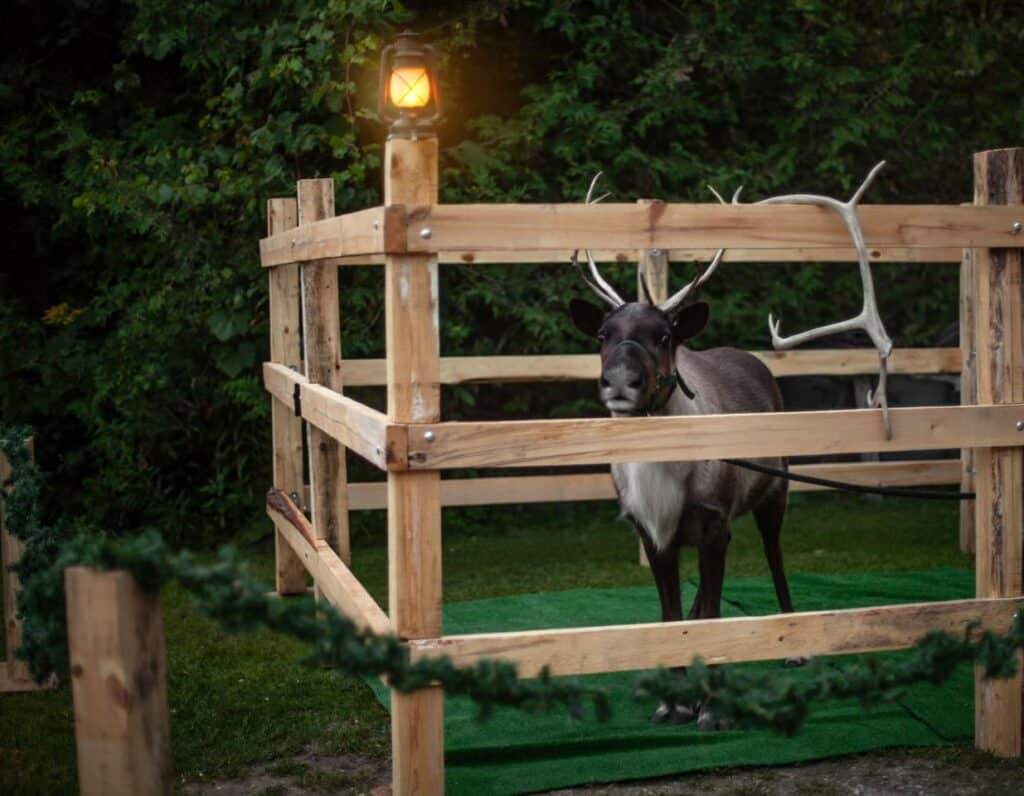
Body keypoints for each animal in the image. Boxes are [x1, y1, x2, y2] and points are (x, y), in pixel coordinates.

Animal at [567, 179, 798, 730]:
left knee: (775, 557)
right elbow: (670, 615)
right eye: (602, 335)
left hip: (775, 493)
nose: (620, 382)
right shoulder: (654, 532)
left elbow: (714, 612)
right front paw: (672, 700)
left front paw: (712, 709)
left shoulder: (715, 523)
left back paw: (792, 648)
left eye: (665, 335)